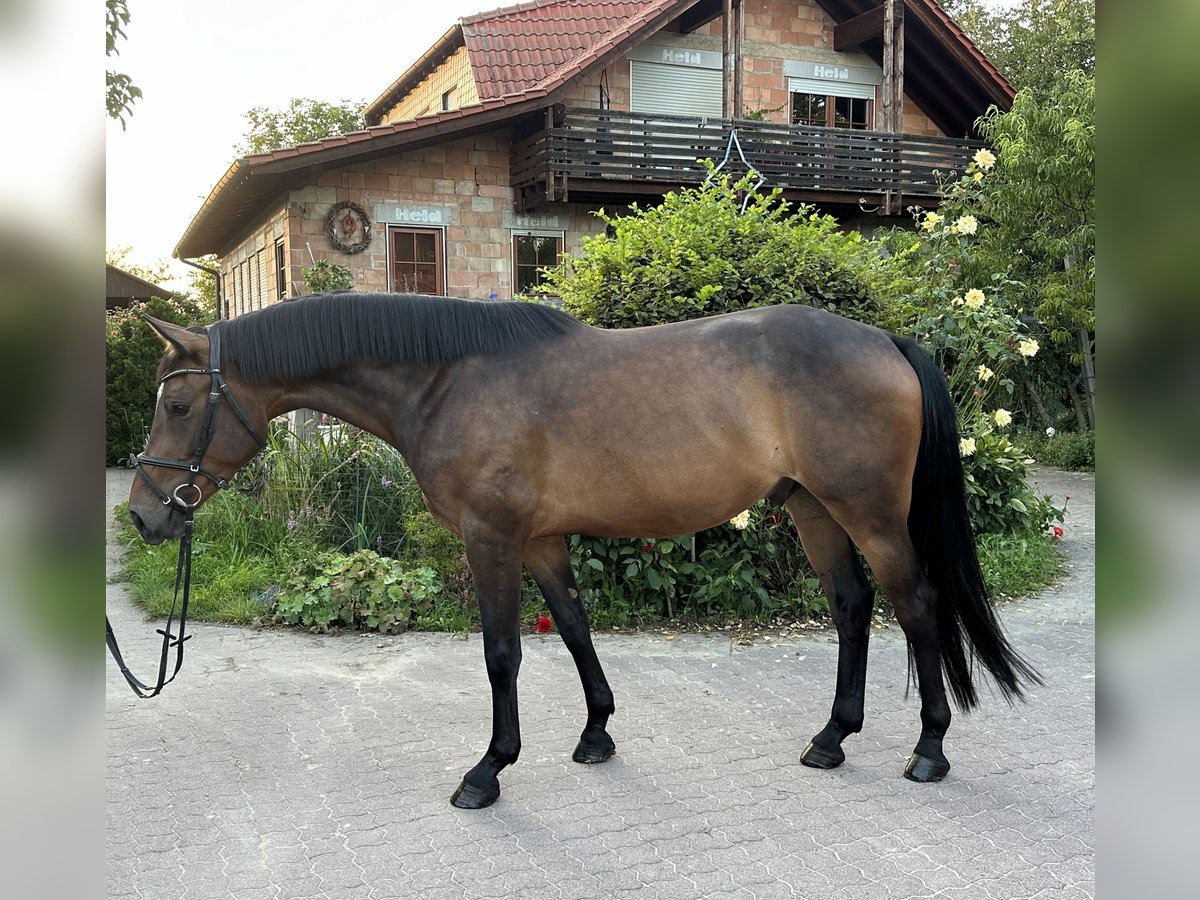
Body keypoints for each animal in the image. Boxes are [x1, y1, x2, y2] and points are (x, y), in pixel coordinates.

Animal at [126, 294, 1036, 811]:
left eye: (179, 405)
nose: (142, 516)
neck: (450, 379)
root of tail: (883, 340)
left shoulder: (492, 538)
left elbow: (501, 654)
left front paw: (488, 771)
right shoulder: (540, 539)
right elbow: (572, 629)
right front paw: (597, 733)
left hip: (871, 514)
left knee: (914, 607)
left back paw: (928, 751)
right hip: (812, 509)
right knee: (852, 607)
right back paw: (831, 738)